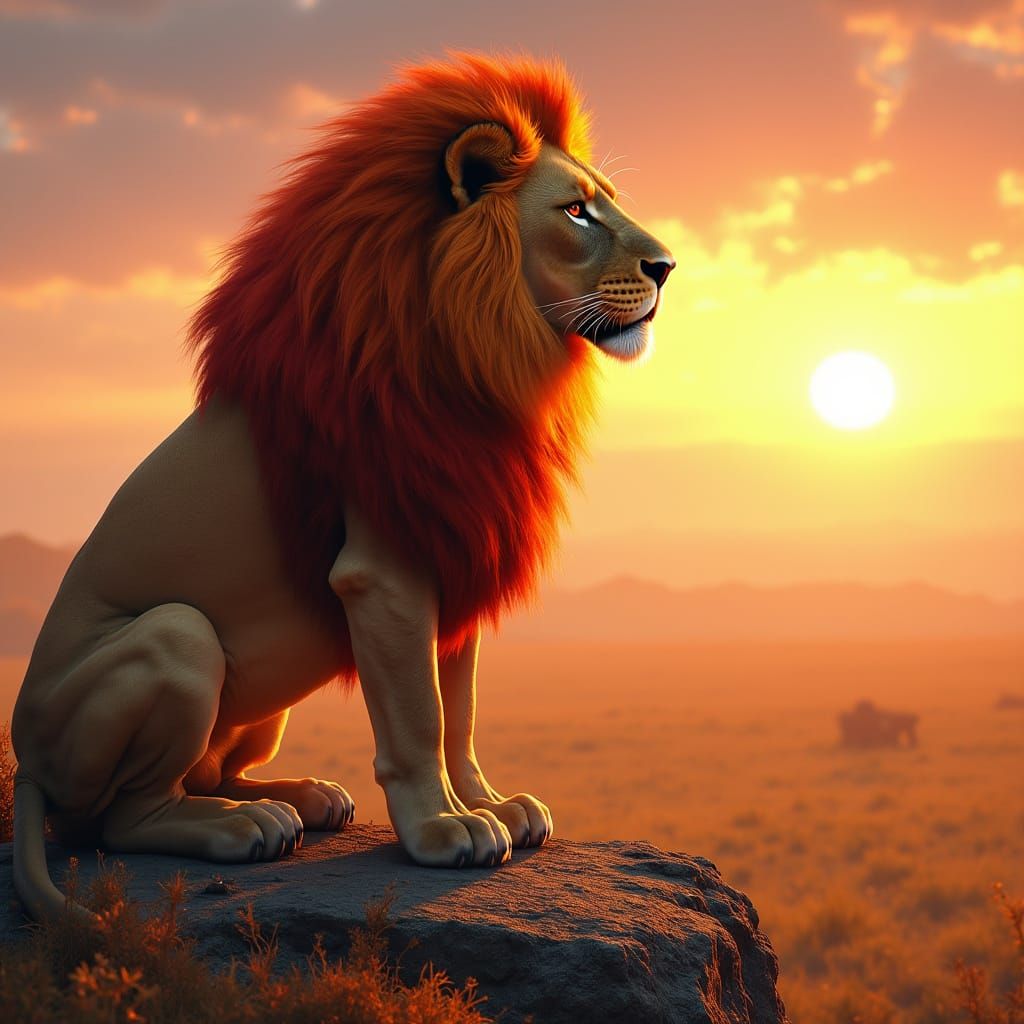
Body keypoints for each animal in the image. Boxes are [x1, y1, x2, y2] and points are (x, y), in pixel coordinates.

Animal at [11, 52, 674, 922]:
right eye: (576, 212)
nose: (668, 267)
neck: (485, 359)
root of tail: (24, 760)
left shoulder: (456, 541)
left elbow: (459, 714)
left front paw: (489, 804)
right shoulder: (384, 570)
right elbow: (420, 718)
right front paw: (443, 831)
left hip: (262, 706)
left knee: (207, 772)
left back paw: (301, 796)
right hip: (178, 638)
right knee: (121, 818)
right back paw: (243, 825)